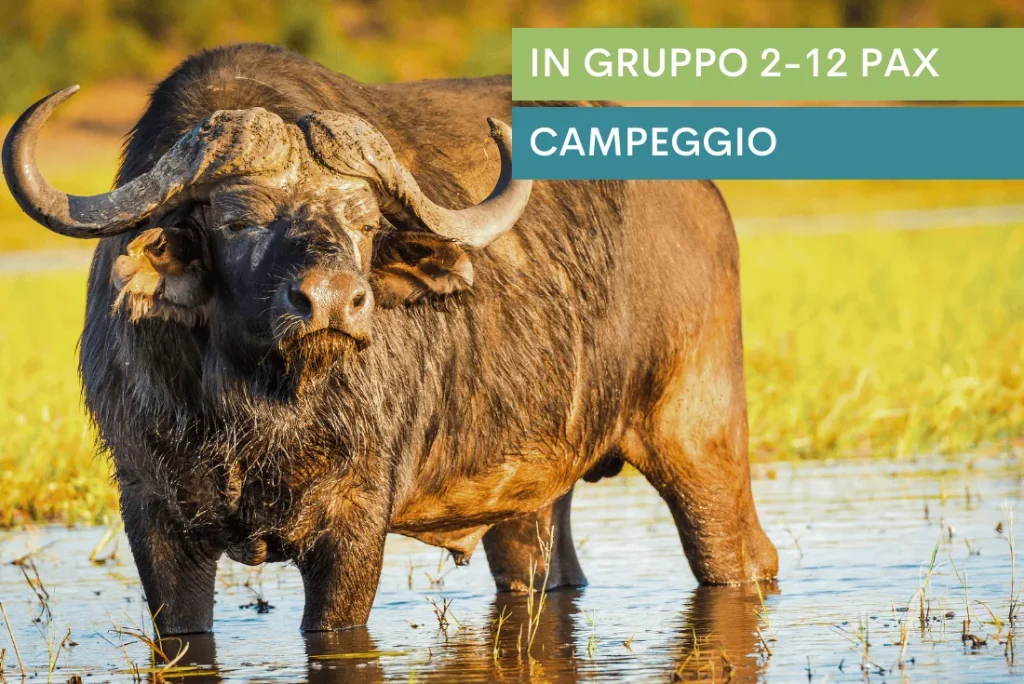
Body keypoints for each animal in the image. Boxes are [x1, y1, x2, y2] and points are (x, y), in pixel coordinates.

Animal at [3, 43, 777, 634]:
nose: (333, 302)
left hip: (701, 440)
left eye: (366, 222)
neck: (257, 406)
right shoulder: (154, 517)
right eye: (236, 220)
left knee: (744, 558)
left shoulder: (353, 522)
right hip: (534, 495)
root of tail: (704, 196)